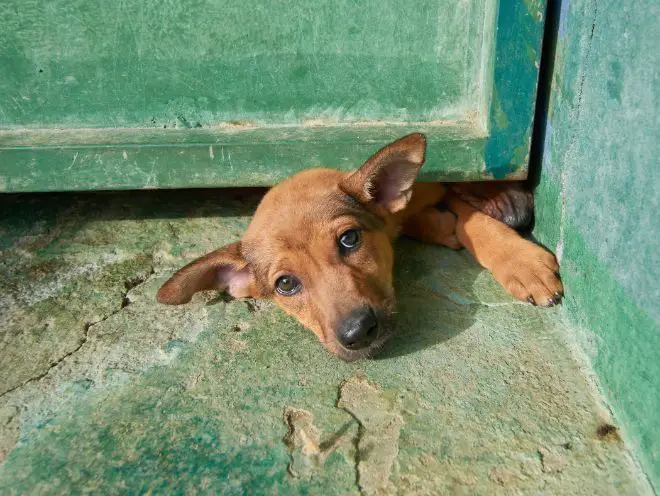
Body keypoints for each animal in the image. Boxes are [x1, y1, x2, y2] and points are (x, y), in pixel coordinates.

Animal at [156, 135, 564, 360]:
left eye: (349, 239)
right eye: (285, 284)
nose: (358, 333)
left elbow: (467, 216)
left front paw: (519, 260)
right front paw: (439, 225)